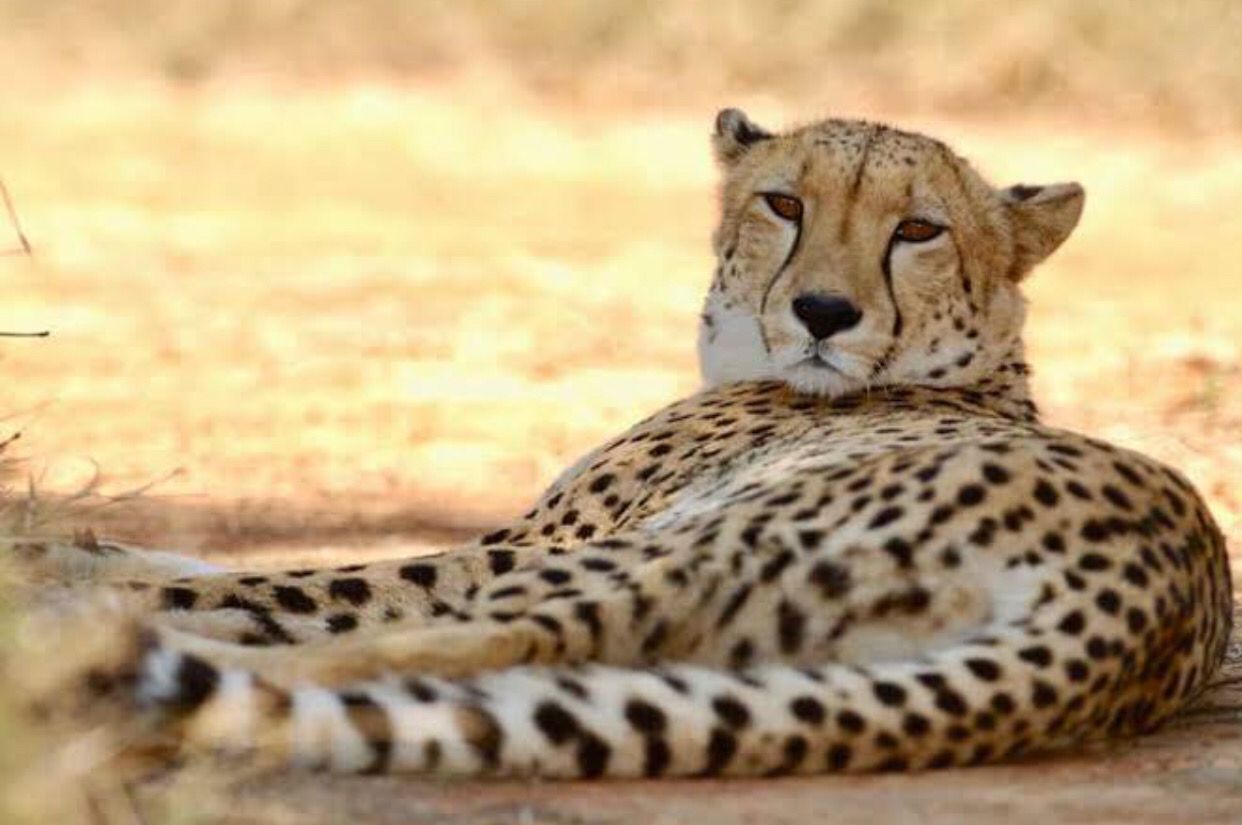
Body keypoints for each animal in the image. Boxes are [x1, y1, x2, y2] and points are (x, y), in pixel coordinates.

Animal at [14, 109, 1233, 779]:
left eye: (919, 230)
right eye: (785, 204)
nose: (824, 313)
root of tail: (1145, 605)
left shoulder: (520, 543)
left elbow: (290, 582)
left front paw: (51, 576)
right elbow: (196, 559)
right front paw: (67, 552)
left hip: (681, 548)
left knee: (464, 645)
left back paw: (88, 661)